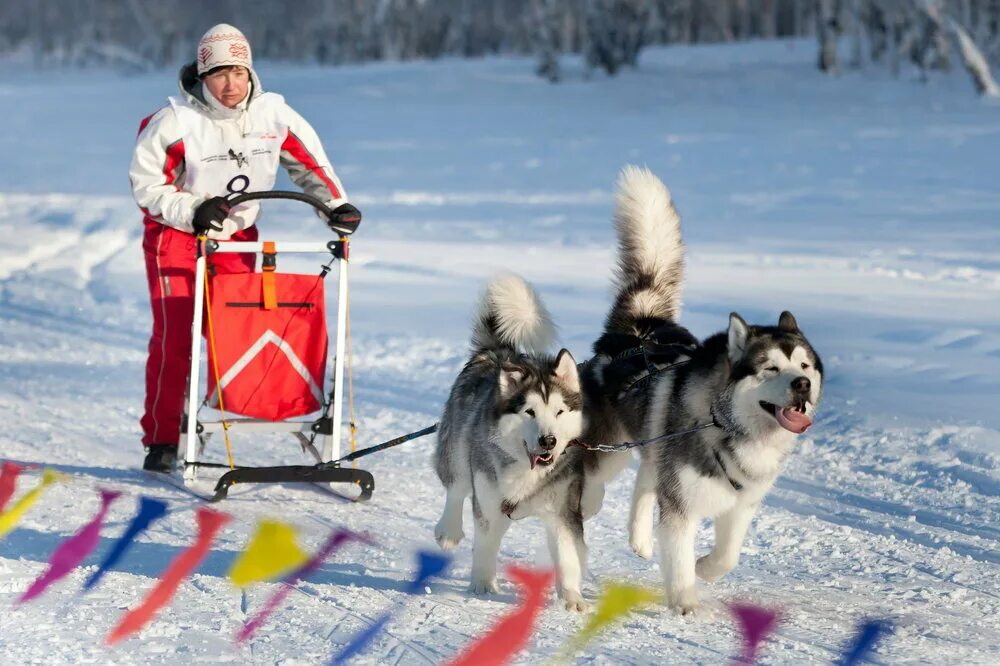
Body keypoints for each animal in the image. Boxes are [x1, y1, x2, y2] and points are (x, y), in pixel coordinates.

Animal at [432, 272, 592, 608]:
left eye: (559, 411)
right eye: (529, 412)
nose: (549, 441)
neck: (525, 472)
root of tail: (498, 352)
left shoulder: (563, 510)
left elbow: (568, 555)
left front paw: (571, 597)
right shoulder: (488, 502)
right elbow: (486, 542)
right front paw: (482, 583)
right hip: (458, 449)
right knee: (456, 486)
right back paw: (449, 530)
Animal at [588, 163, 824, 608]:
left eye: (804, 365)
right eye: (770, 368)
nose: (802, 384)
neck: (726, 426)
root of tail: (643, 323)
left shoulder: (741, 504)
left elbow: (727, 556)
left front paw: (704, 569)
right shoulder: (681, 504)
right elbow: (679, 556)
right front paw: (686, 603)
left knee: (645, 480)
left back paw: (640, 538)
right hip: (614, 449)